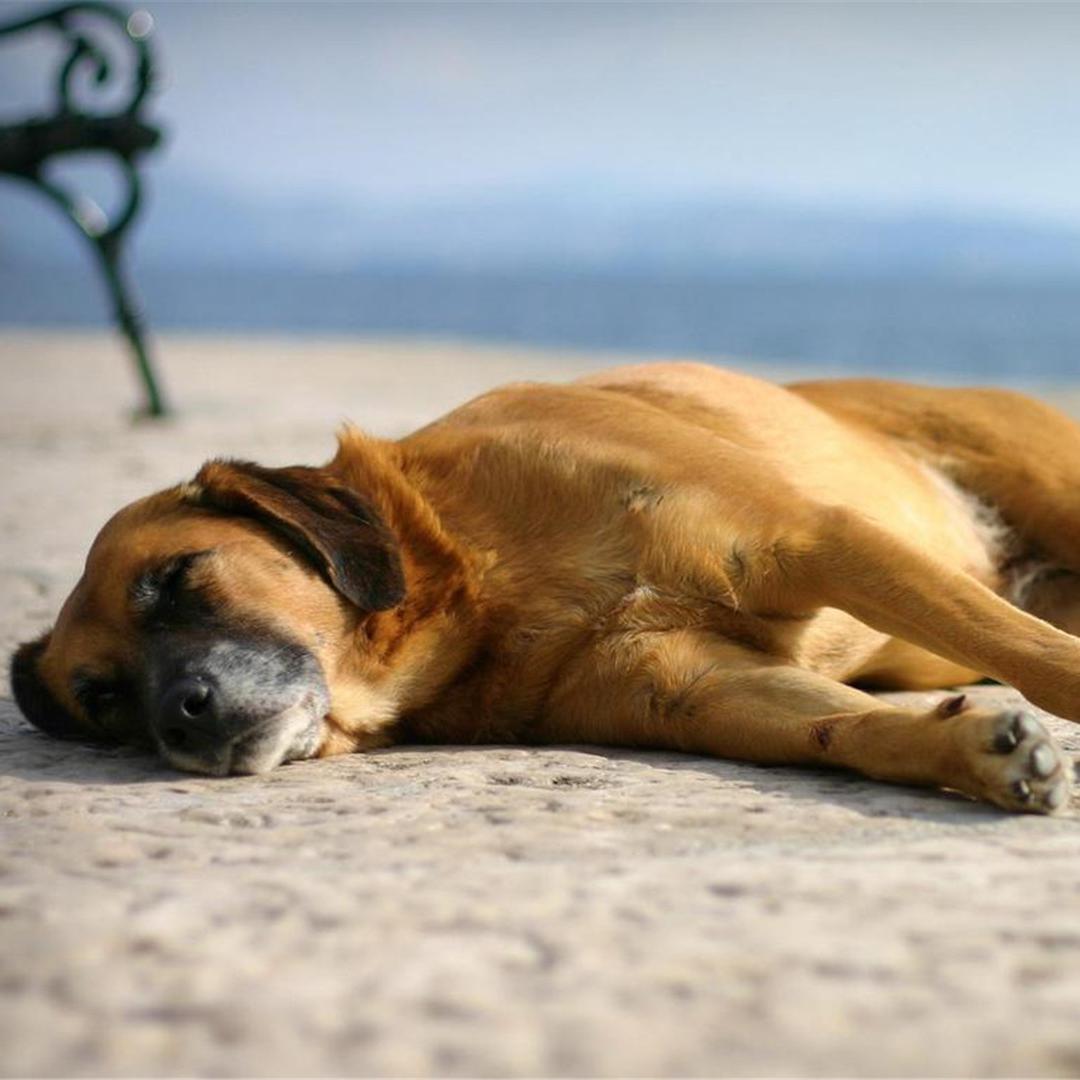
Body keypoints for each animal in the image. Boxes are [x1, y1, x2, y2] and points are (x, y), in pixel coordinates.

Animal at [8, 362, 1080, 812]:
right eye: (105, 700)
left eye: (178, 578)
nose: (179, 718)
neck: (477, 581)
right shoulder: (699, 688)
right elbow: (850, 730)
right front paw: (974, 750)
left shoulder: (813, 538)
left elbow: (1033, 657)